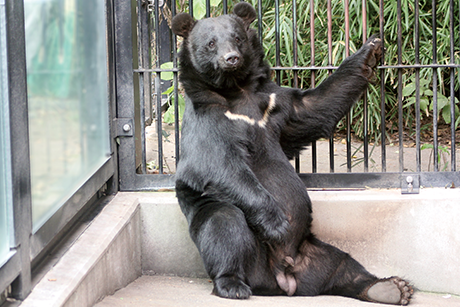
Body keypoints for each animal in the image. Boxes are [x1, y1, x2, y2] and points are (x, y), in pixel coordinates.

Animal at [172, 1, 414, 306]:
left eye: (237, 38)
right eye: (211, 43)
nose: (231, 58)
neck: (236, 90)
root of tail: (283, 277)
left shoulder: (275, 104)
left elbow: (316, 105)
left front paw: (372, 48)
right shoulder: (208, 122)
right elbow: (219, 166)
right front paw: (277, 224)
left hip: (316, 253)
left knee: (343, 266)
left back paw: (390, 288)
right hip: (224, 225)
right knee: (225, 228)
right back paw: (233, 284)